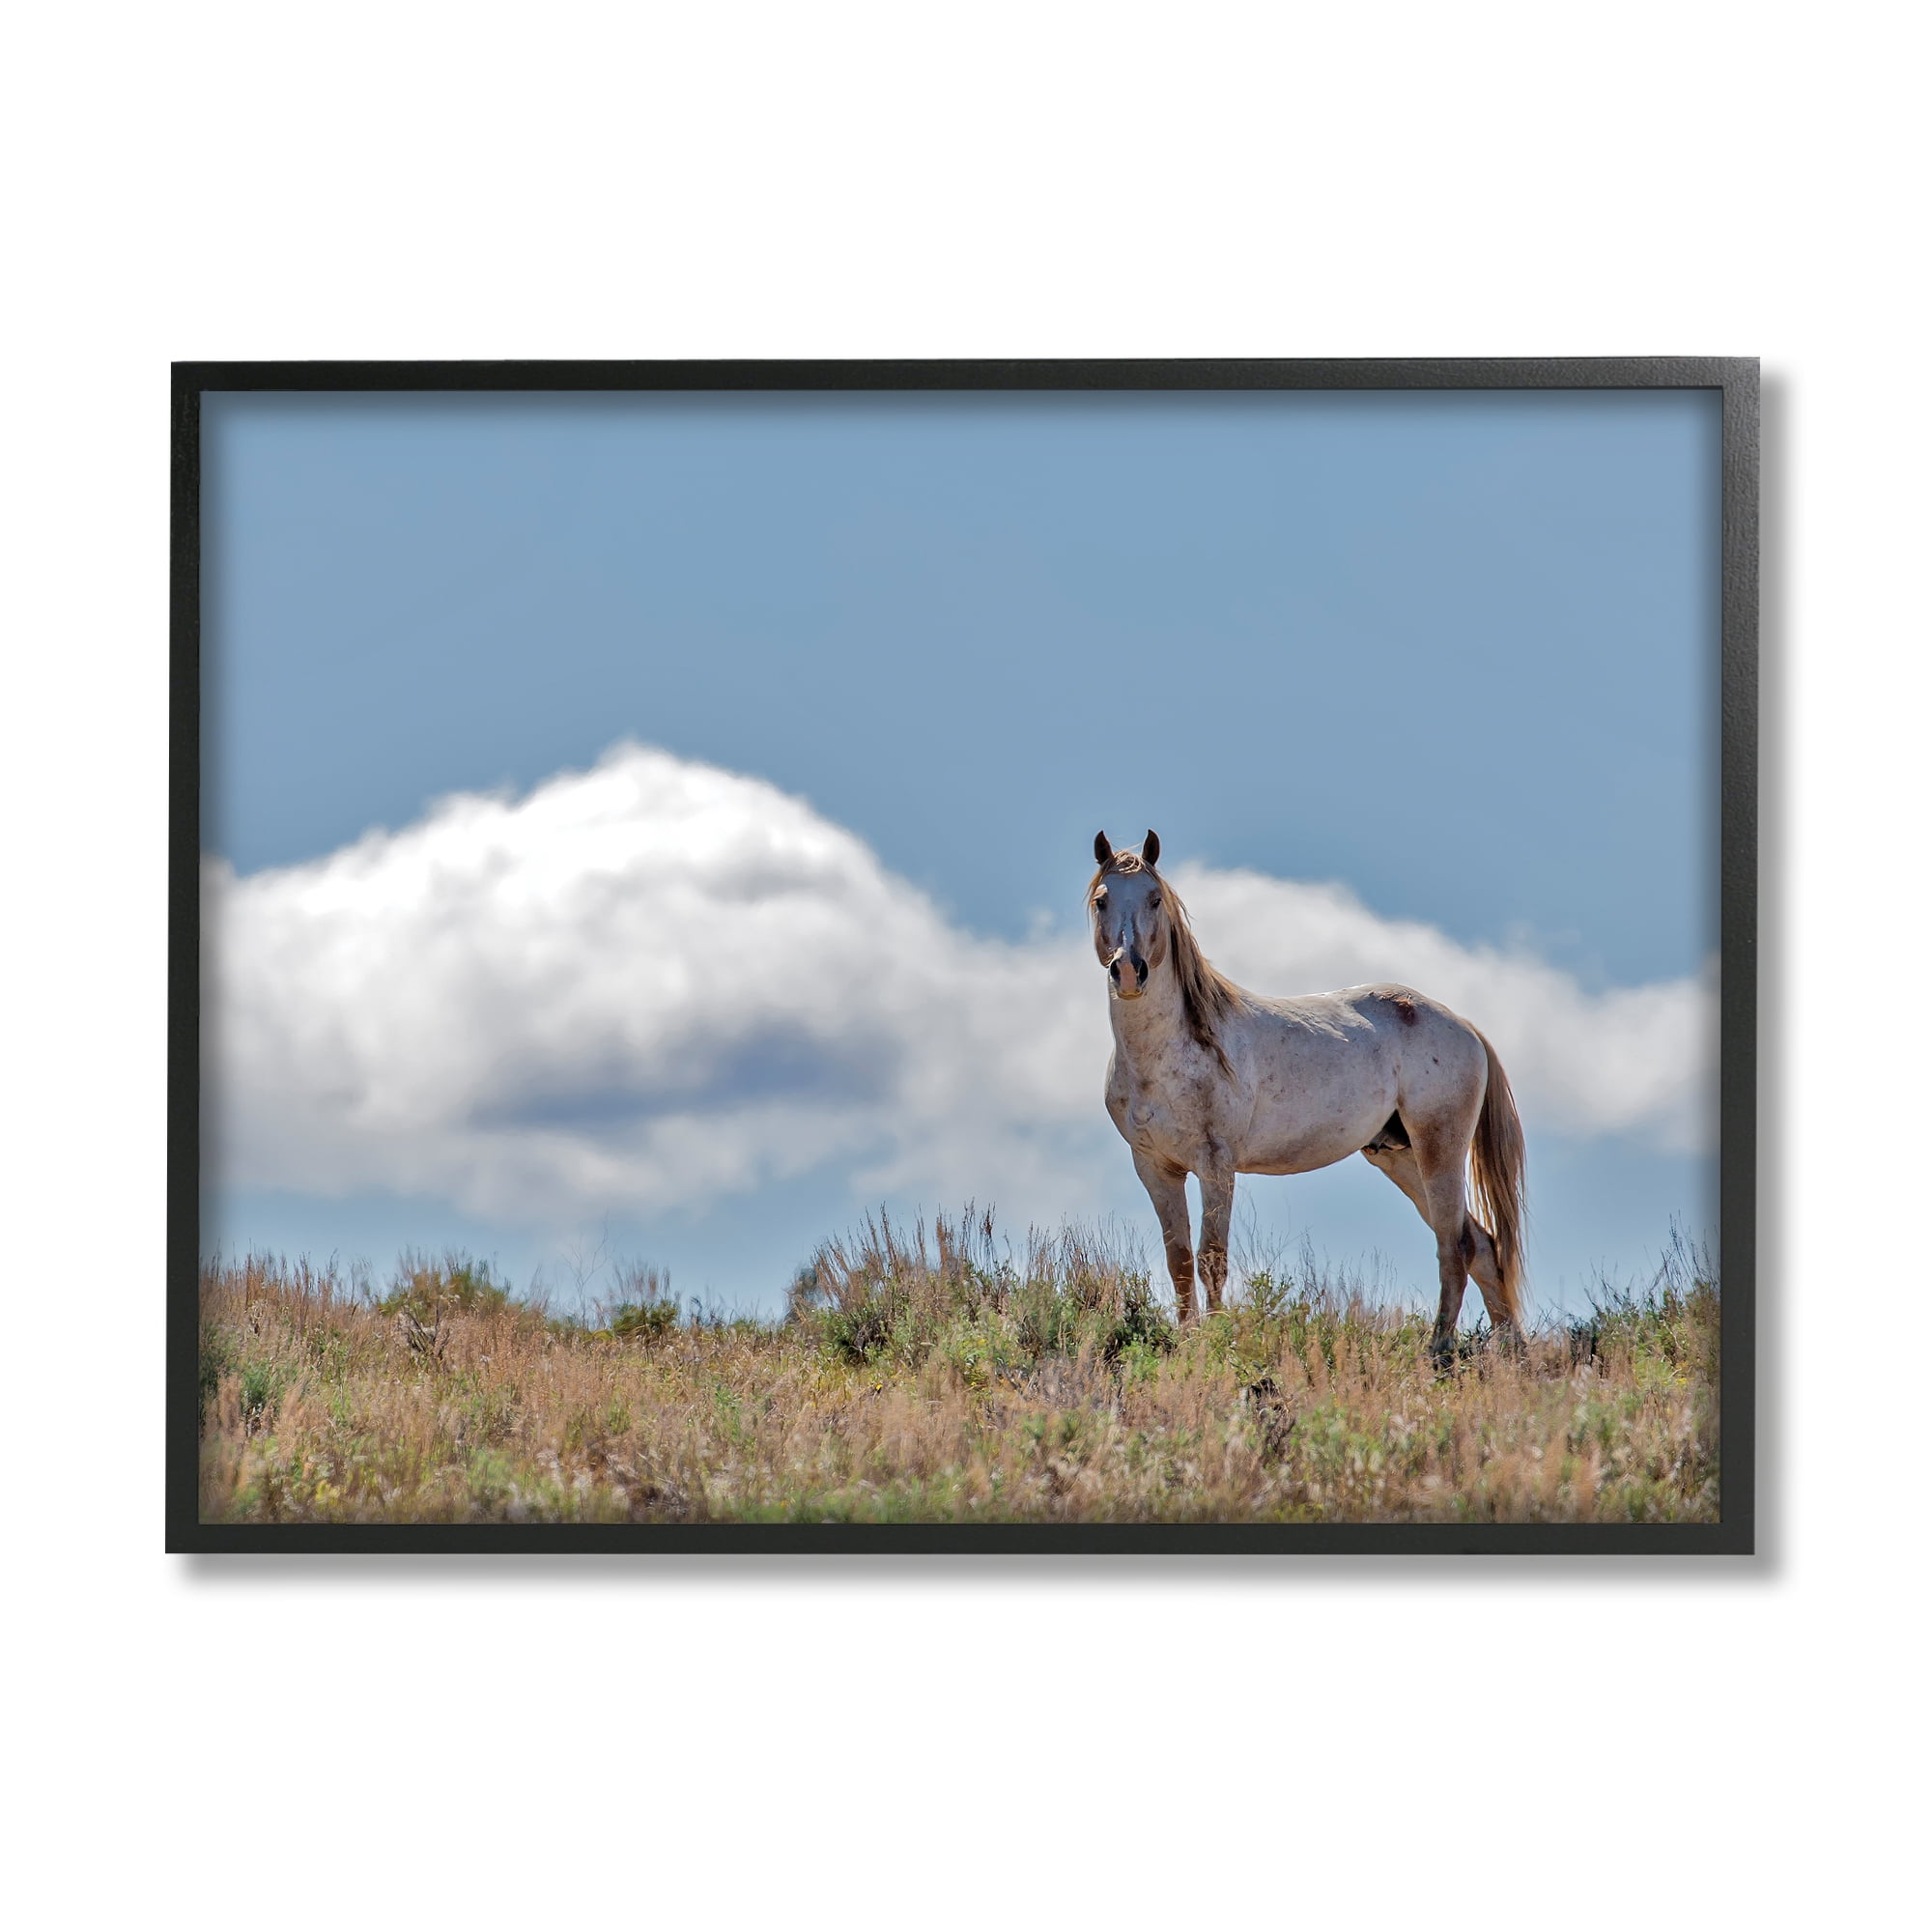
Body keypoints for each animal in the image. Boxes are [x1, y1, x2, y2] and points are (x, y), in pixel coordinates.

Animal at [1089, 830, 1527, 1364]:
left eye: (1154, 899)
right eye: (1102, 900)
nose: (1129, 973)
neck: (1167, 1054)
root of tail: (1463, 1025)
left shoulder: (1216, 1165)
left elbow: (1212, 1257)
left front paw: (1215, 1339)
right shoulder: (1155, 1167)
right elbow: (1180, 1258)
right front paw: (1188, 1340)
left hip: (1438, 1150)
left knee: (1455, 1246)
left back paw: (1438, 1348)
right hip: (1399, 1157)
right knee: (1481, 1246)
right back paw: (1510, 1353)